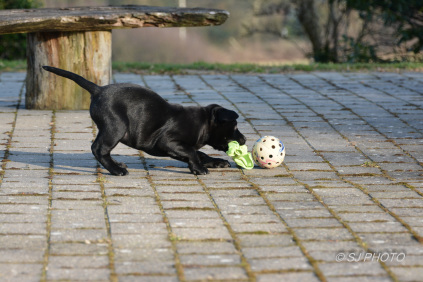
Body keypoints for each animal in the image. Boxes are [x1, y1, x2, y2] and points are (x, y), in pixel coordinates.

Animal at [41, 67, 247, 175]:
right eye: (235, 126)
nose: (245, 140)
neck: (203, 123)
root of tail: (98, 89)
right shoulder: (168, 142)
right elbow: (192, 152)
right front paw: (199, 168)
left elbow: (199, 153)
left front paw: (216, 162)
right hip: (116, 127)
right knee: (98, 149)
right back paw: (116, 170)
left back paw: (117, 165)